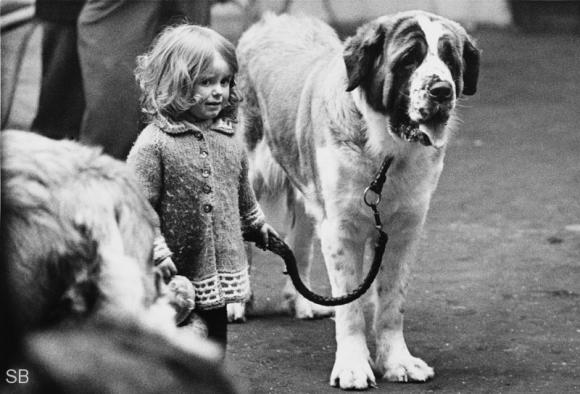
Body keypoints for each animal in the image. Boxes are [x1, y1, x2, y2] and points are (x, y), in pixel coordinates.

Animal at [238, 10, 482, 390]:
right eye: (409, 59)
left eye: (449, 59)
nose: (442, 90)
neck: (386, 153)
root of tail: (273, 19)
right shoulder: (341, 231)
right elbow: (350, 309)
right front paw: (353, 366)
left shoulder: (403, 232)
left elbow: (391, 304)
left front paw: (397, 361)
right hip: (251, 170)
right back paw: (239, 303)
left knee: (300, 242)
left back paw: (303, 301)